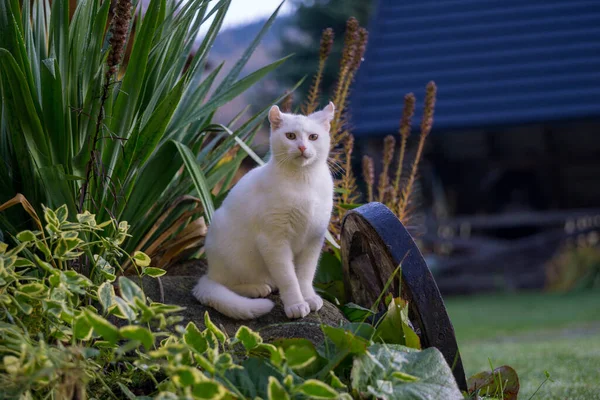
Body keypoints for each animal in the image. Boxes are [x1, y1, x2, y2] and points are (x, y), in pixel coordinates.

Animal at [191, 102, 336, 318]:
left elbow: (305, 275)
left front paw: (308, 297)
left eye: (313, 137)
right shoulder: (274, 240)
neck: (304, 180)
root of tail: (209, 272)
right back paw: (257, 288)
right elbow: (289, 278)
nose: (302, 147)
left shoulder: (313, 239)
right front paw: (295, 304)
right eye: (290, 136)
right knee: (227, 284)